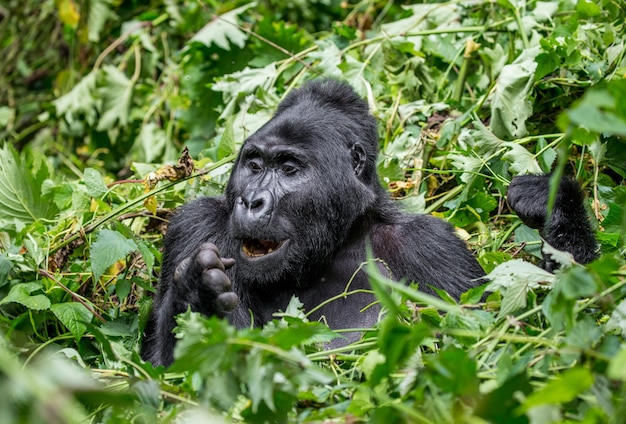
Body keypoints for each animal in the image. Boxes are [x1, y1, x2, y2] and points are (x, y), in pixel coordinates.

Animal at [141, 80, 596, 368]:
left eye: (289, 169)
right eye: (253, 165)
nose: (252, 200)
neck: (331, 245)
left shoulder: (431, 245)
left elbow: (505, 339)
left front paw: (557, 206)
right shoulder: (195, 225)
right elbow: (161, 378)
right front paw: (196, 297)